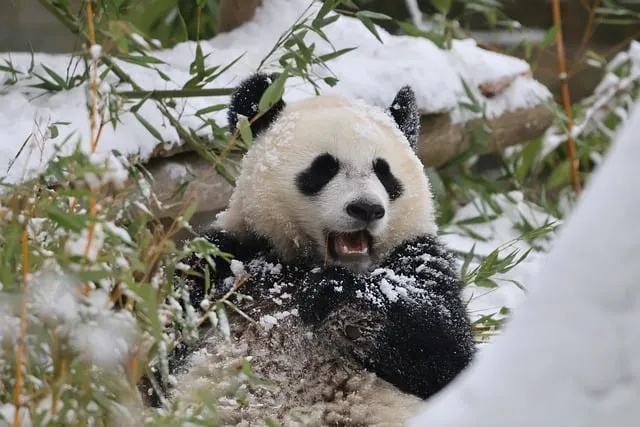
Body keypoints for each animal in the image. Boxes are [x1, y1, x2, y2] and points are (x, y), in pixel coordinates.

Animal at [162, 73, 476, 426]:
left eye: (383, 171)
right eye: (324, 167)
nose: (366, 209)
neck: (304, 264)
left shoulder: (418, 258)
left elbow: (442, 350)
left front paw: (330, 292)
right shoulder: (227, 259)